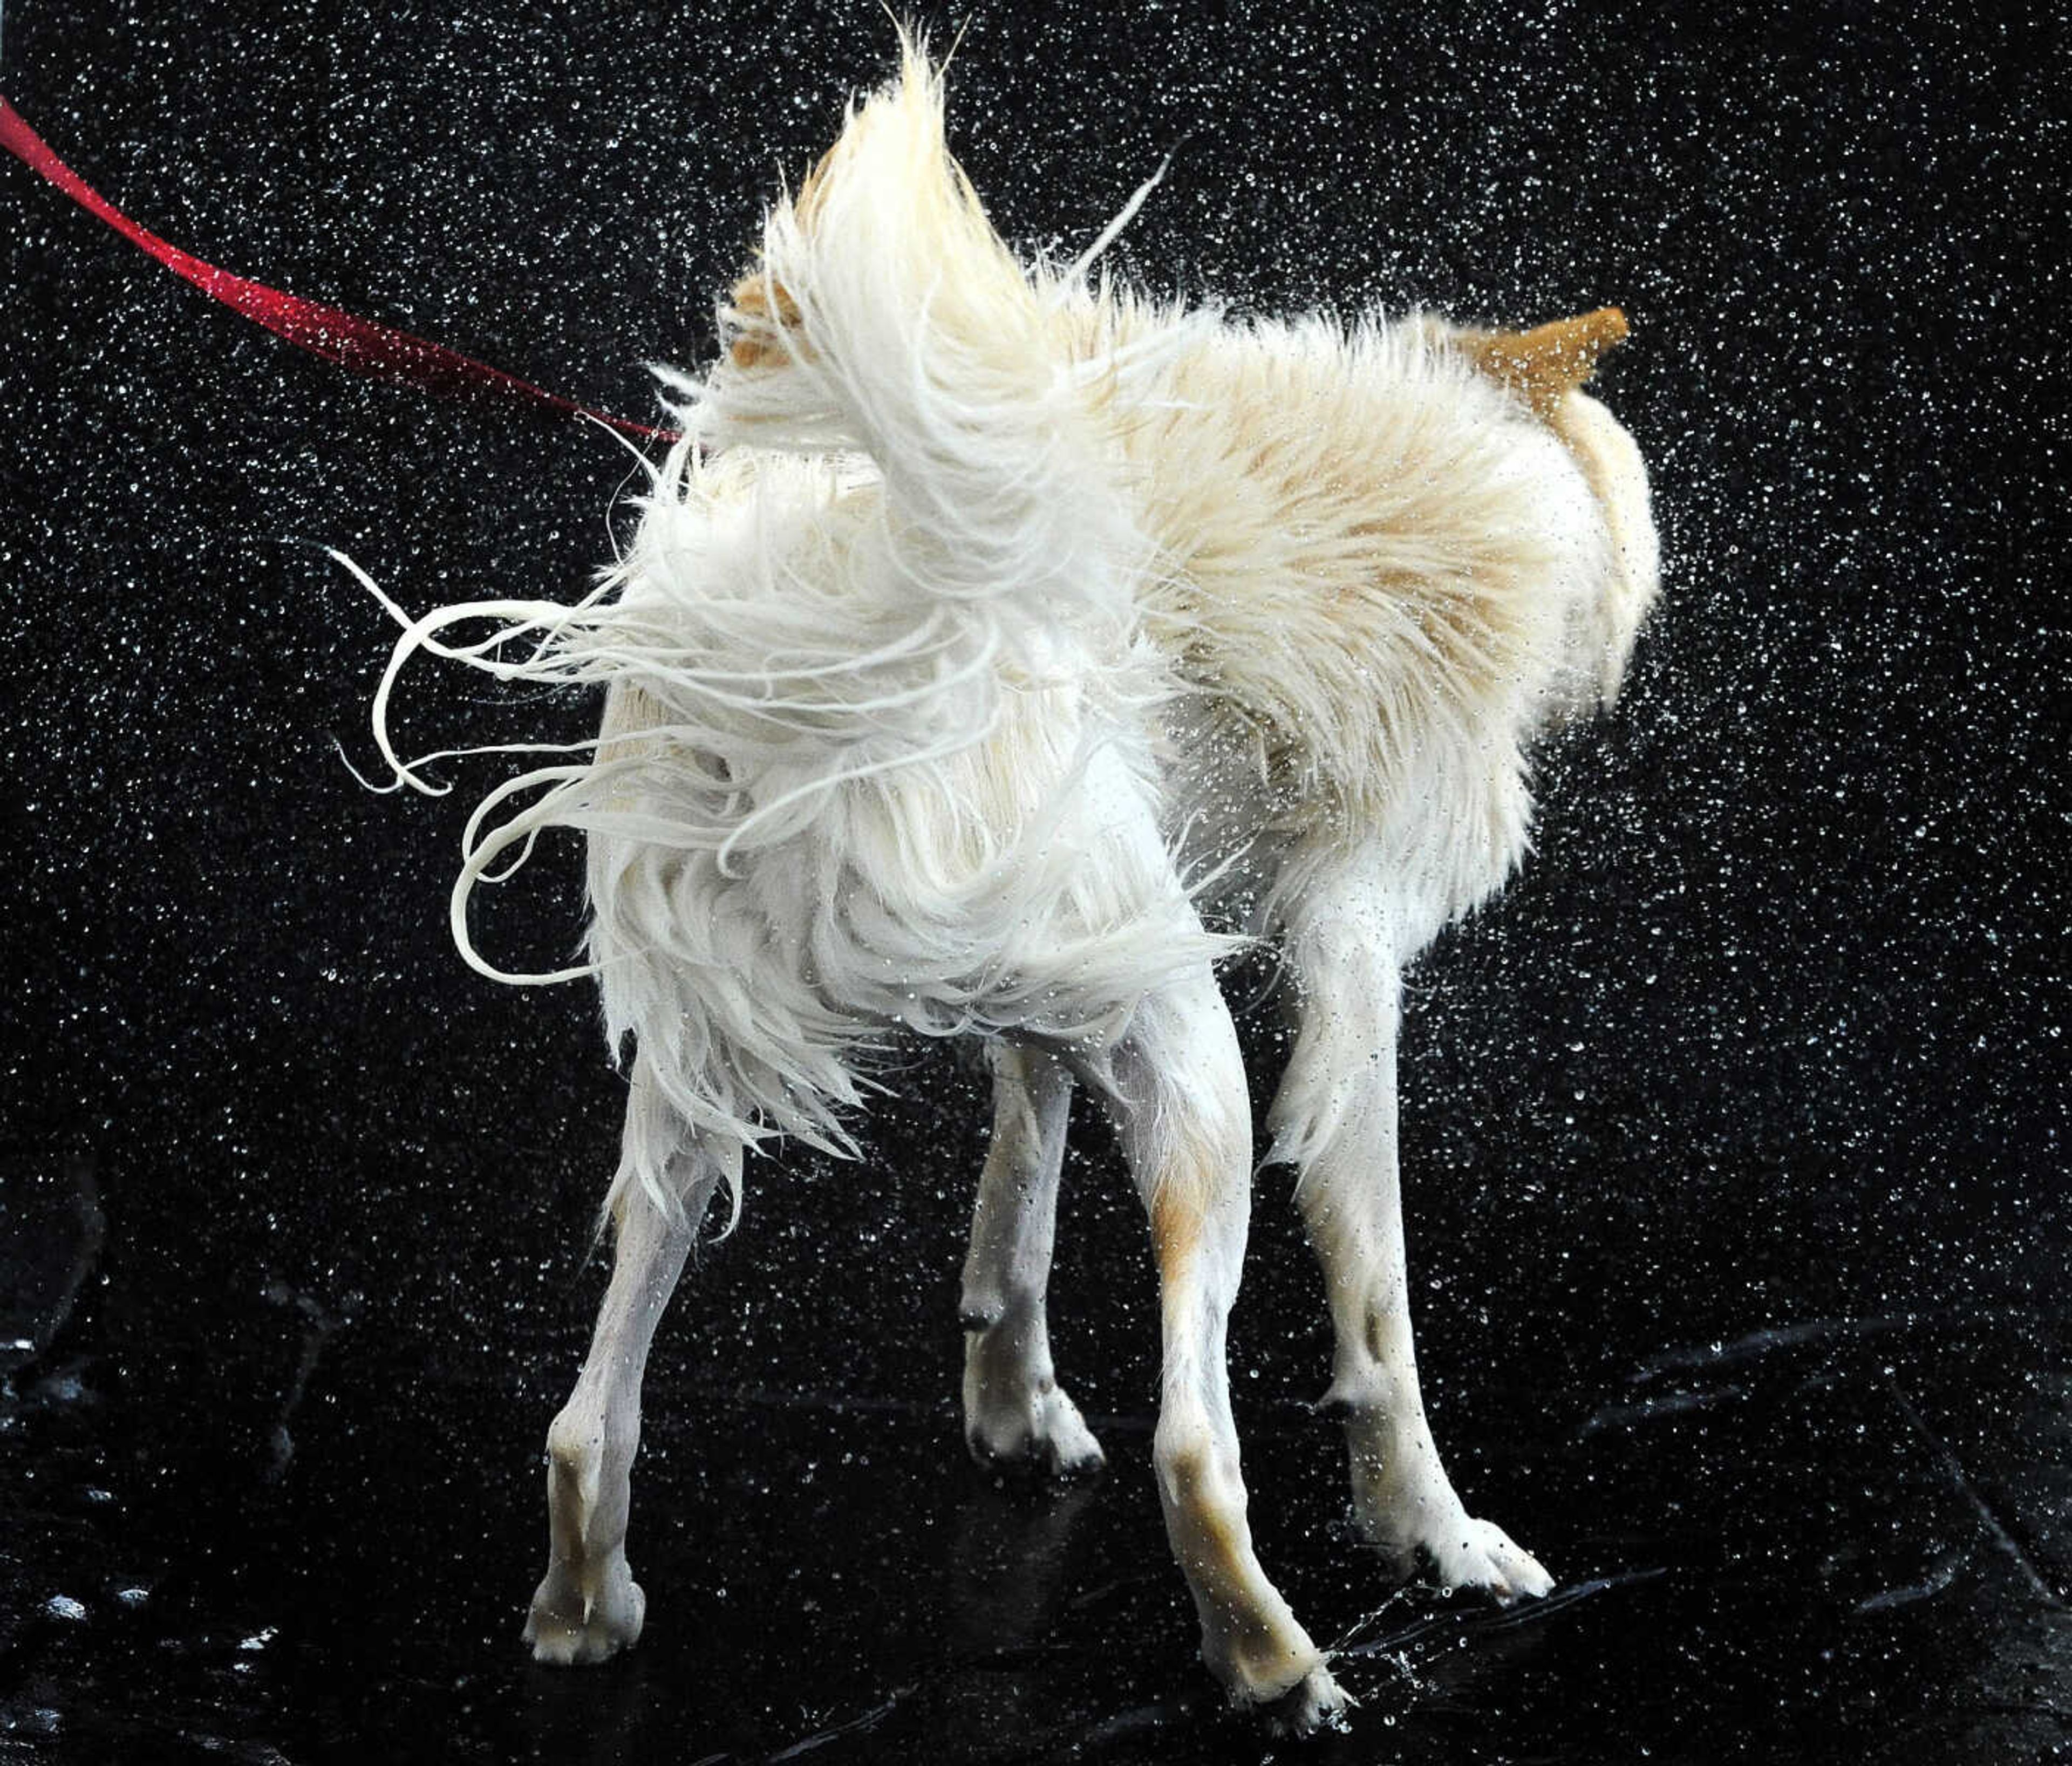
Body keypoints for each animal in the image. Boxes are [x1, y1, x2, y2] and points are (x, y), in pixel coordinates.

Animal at [364, 38, 1658, 1741]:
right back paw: (1272, 1659)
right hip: (1195, 1067)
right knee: (1194, 1446)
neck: (1459, 471)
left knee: (591, 1413)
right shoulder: (1350, 961)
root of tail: (851, 633)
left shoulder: (1056, 974)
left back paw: (585, 1607)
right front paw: (1434, 1536)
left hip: (707, 1090)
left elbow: (1016, 1187)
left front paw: (1009, 1395)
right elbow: (1377, 1306)